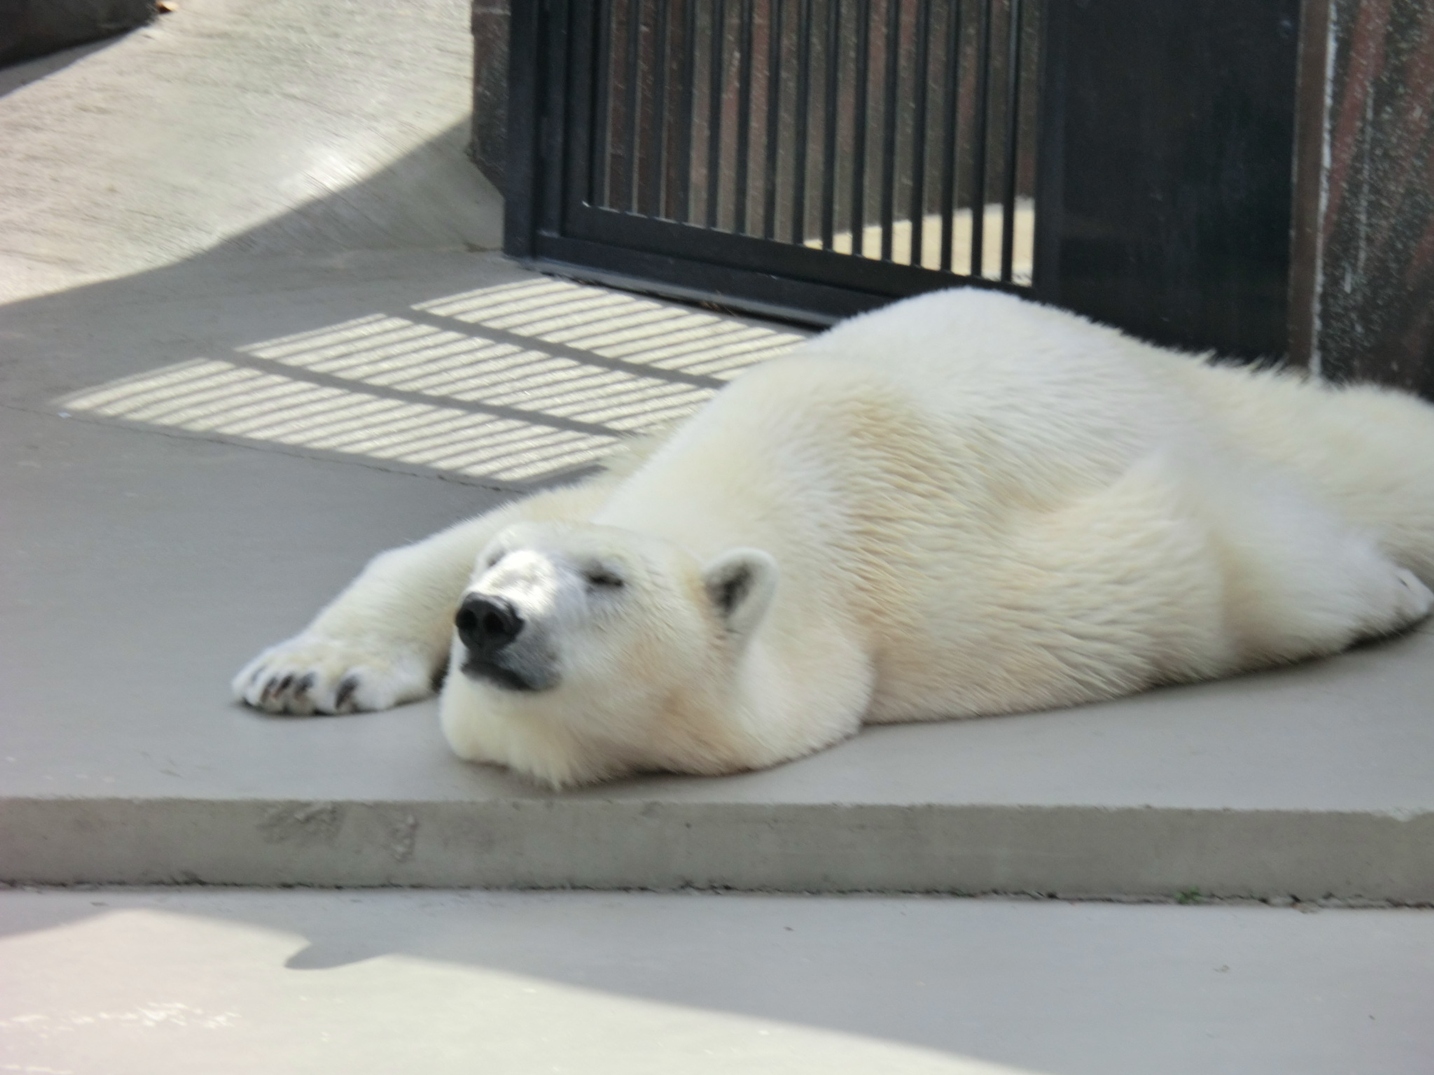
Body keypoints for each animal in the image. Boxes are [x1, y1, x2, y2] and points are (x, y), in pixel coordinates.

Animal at [232, 290, 1434, 785]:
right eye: (502, 575)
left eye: (605, 579)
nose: (487, 619)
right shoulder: (638, 465)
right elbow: (441, 539)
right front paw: (303, 671)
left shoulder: (947, 598)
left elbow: (1195, 561)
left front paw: (1386, 591)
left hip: (1205, 396)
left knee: (1365, 452)